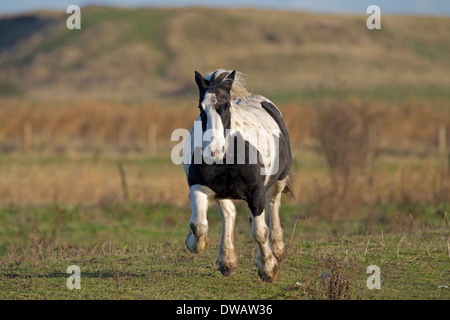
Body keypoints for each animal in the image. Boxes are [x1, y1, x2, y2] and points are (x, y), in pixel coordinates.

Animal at [181, 68, 294, 282]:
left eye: (226, 106)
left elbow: (259, 232)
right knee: (229, 214)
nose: (215, 150)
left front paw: (268, 269)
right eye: (201, 108)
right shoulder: (198, 186)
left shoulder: (256, 193)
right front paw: (194, 243)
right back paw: (228, 261)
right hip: (223, 192)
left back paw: (277, 248)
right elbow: (198, 225)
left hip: (278, 182)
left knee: (274, 205)